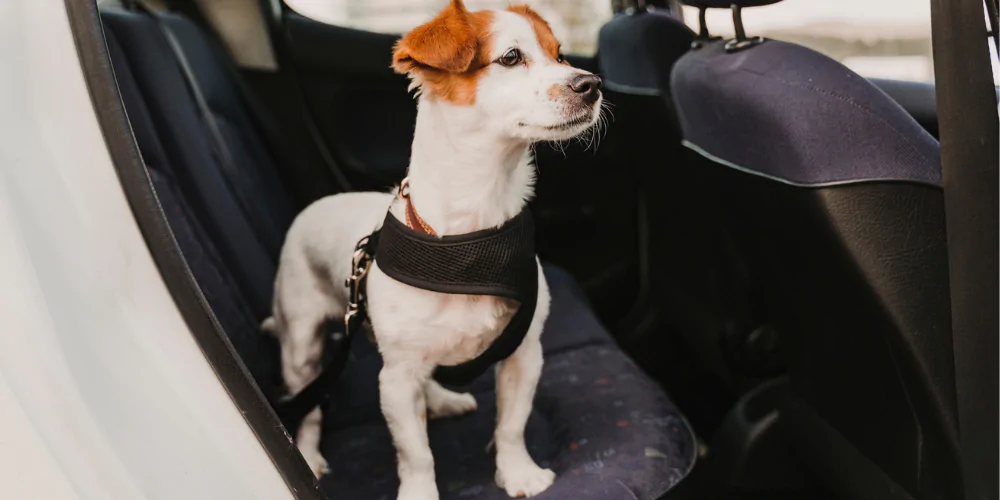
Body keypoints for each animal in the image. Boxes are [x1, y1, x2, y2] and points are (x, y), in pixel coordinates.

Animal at [268, 1, 600, 498]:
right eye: (511, 57)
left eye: (560, 54)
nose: (591, 84)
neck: (473, 239)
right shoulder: (396, 379)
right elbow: (416, 453)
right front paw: (420, 492)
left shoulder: (523, 354)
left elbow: (512, 424)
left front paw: (518, 473)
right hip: (302, 347)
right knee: (307, 408)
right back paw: (307, 456)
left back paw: (441, 400)